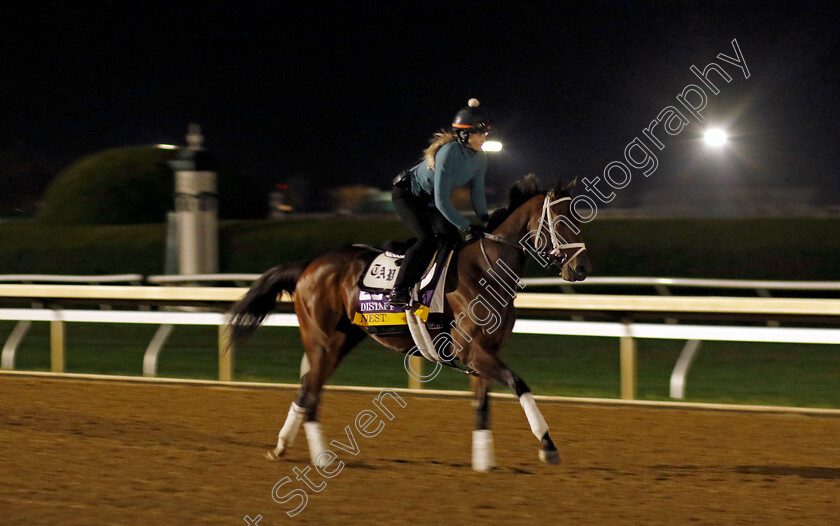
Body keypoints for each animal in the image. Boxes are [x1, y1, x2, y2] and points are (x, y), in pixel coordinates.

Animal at [225, 175, 592, 472]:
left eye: (581, 217)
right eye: (561, 221)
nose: (581, 269)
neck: (486, 271)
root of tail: (309, 265)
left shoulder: (485, 353)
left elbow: (482, 406)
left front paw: (483, 462)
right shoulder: (472, 351)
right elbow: (519, 384)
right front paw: (548, 445)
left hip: (340, 341)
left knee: (305, 390)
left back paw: (281, 447)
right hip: (322, 341)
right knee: (312, 393)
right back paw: (323, 459)